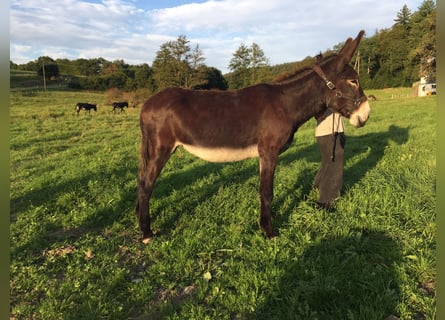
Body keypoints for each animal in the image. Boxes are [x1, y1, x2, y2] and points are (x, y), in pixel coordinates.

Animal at [134, 31, 368, 244]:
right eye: (353, 81)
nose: (365, 115)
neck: (286, 104)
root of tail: (146, 104)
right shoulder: (269, 152)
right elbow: (267, 192)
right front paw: (269, 231)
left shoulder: (263, 154)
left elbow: (264, 191)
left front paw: (267, 223)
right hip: (161, 149)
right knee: (146, 186)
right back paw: (147, 232)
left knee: (141, 181)